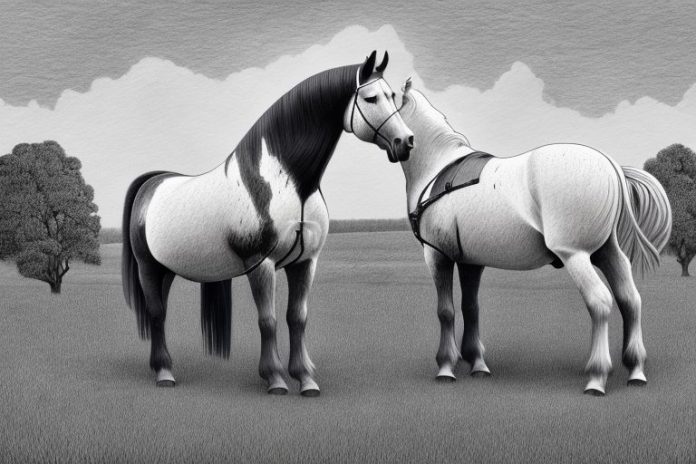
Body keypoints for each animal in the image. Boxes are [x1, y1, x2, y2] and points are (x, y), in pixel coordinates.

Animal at [121, 51, 414, 396]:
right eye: (370, 98)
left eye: (393, 95)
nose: (406, 141)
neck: (289, 185)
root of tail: (153, 182)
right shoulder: (261, 264)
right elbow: (268, 320)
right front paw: (275, 378)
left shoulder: (305, 263)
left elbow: (297, 318)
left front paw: (305, 379)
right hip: (148, 267)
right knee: (156, 313)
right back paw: (164, 373)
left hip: (165, 269)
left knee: (160, 312)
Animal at [396, 81, 671, 395]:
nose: (398, 143)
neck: (437, 168)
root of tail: (609, 164)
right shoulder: (470, 261)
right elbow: (470, 307)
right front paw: (476, 363)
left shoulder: (437, 255)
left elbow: (446, 311)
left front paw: (446, 367)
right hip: (606, 251)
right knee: (630, 300)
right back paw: (635, 370)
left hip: (576, 255)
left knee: (600, 302)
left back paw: (597, 377)